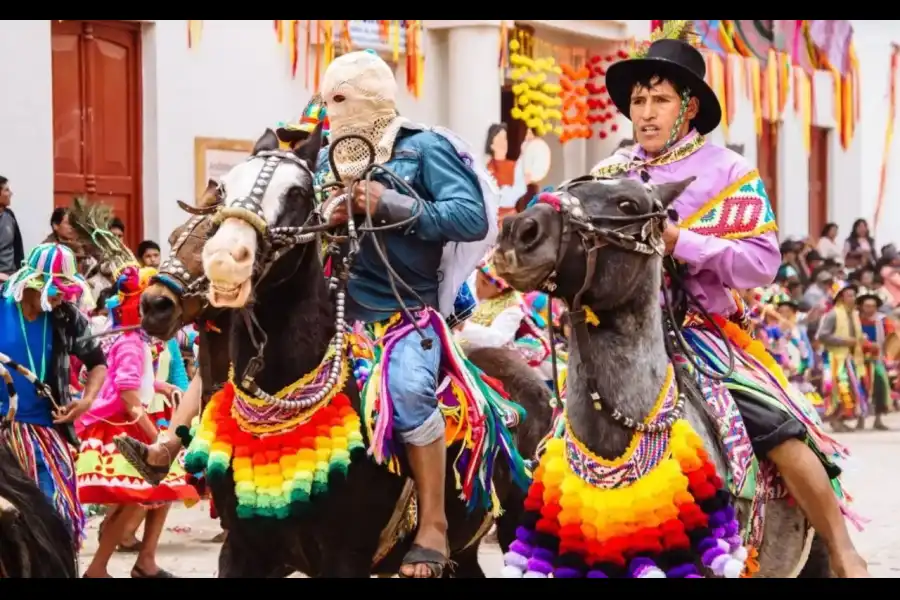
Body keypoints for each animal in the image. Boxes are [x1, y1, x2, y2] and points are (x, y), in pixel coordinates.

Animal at [178, 129, 548, 580]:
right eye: (225, 189)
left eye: (298, 192)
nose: (225, 259)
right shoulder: (244, 550)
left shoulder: (345, 555)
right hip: (465, 551)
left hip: (518, 523)